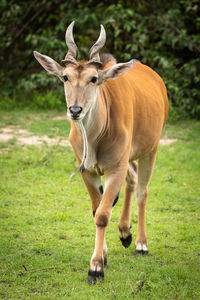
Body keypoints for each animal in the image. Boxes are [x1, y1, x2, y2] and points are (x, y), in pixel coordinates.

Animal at [34, 21, 169, 284]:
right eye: (65, 77)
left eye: (94, 78)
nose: (75, 110)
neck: (95, 137)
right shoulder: (88, 171)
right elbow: (97, 209)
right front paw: (104, 255)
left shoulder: (115, 168)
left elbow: (103, 215)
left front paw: (95, 267)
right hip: (129, 158)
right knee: (132, 180)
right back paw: (125, 233)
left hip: (151, 149)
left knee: (142, 191)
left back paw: (140, 243)